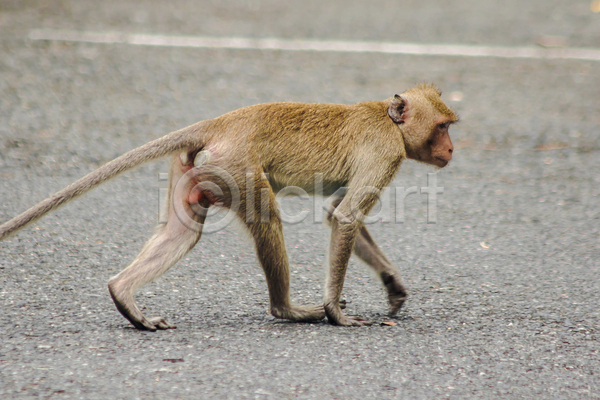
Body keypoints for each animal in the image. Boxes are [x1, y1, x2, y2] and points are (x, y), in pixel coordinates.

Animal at [0, 83, 454, 330]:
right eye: (442, 127)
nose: (451, 149)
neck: (386, 118)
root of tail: (224, 121)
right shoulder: (385, 150)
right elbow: (345, 217)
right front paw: (335, 314)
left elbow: (338, 213)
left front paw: (392, 284)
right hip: (237, 168)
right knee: (268, 218)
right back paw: (288, 309)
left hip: (196, 170)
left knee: (182, 231)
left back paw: (124, 294)